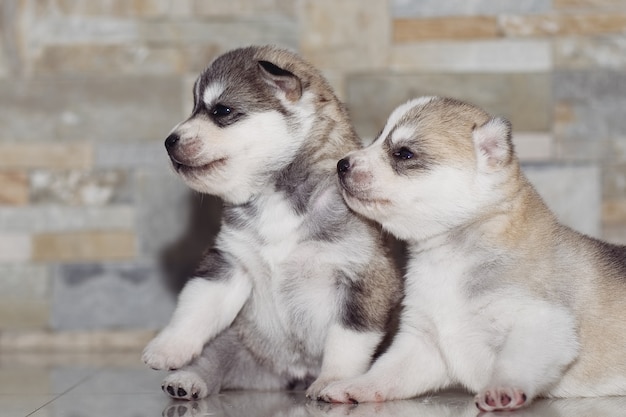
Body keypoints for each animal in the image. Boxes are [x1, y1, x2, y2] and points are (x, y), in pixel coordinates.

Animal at [141, 45, 400, 400]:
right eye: (194, 108)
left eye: (221, 111)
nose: (169, 141)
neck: (273, 197)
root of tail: (292, 374)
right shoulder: (229, 262)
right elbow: (194, 308)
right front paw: (167, 348)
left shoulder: (363, 279)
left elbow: (346, 342)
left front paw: (332, 381)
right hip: (239, 339)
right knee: (213, 357)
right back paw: (188, 379)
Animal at [324, 96, 626, 410]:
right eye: (375, 140)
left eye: (404, 154)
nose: (342, 163)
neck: (446, 258)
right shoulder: (424, 342)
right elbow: (386, 371)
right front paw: (356, 385)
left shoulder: (541, 324)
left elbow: (513, 363)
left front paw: (502, 387)